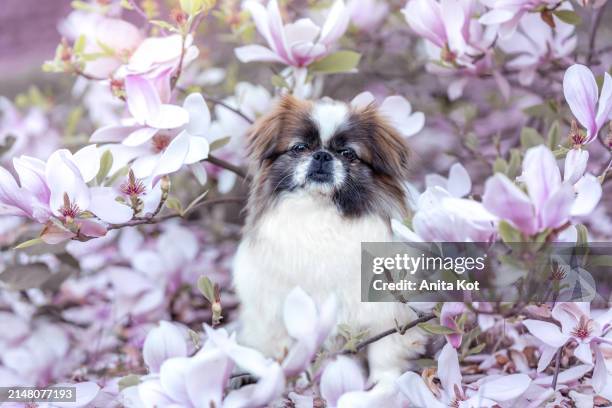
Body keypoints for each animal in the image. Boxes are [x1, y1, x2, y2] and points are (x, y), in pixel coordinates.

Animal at [233, 94, 426, 384]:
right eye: (299, 148)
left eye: (348, 154)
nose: (322, 155)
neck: (321, 210)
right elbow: (291, 351)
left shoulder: (385, 310)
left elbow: (385, 351)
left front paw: (383, 385)